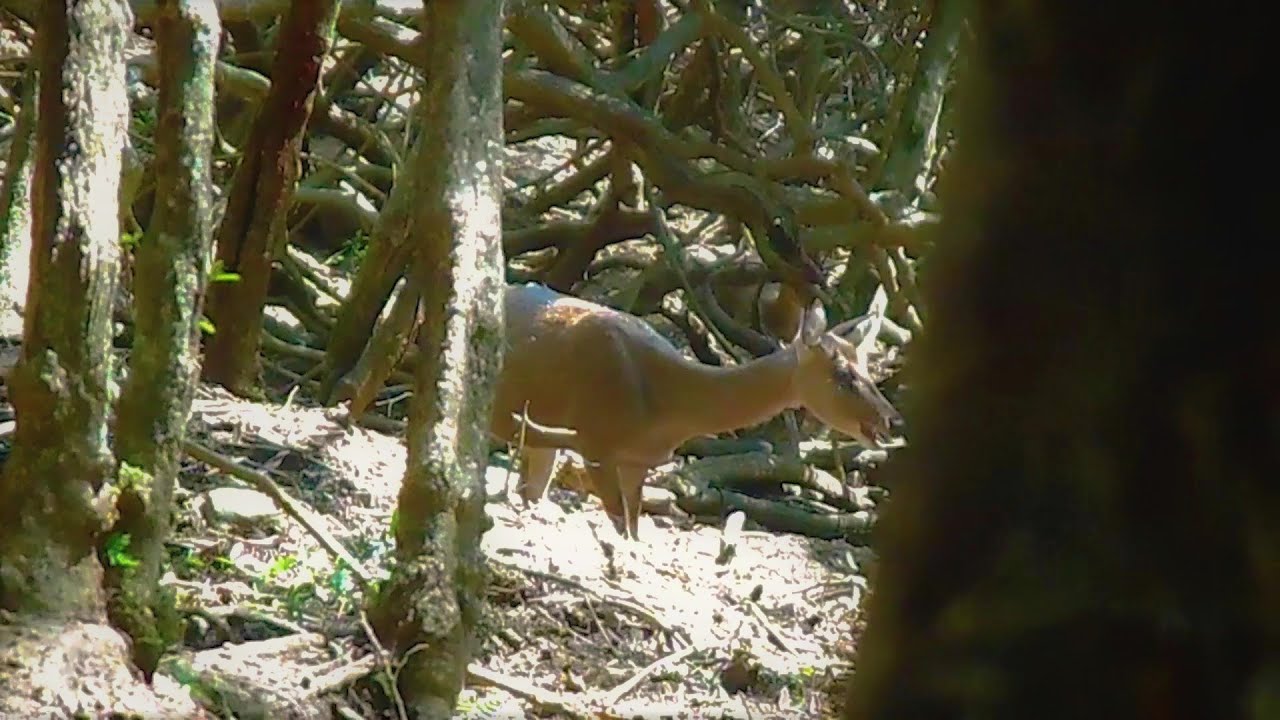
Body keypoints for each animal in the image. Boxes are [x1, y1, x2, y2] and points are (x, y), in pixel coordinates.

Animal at [489, 282, 904, 541]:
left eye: (867, 367)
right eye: (843, 375)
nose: (891, 420)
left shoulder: (636, 460)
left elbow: (634, 530)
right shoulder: (594, 442)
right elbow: (621, 527)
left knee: (531, 488)